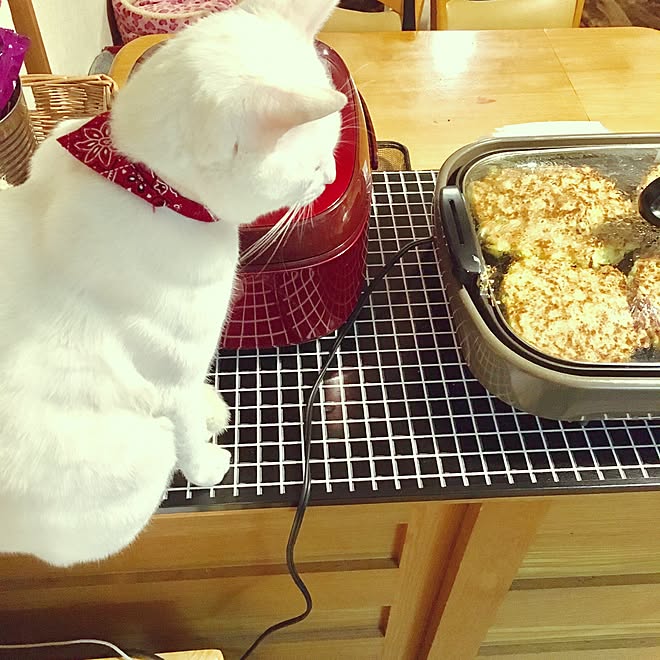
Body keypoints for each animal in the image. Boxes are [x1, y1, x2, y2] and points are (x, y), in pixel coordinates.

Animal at [0, 0, 346, 568]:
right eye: (315, 165)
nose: (332, 176)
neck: (145, 184)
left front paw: (210, 410)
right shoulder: (168, 380)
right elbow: (184, 430)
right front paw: (206, 466)